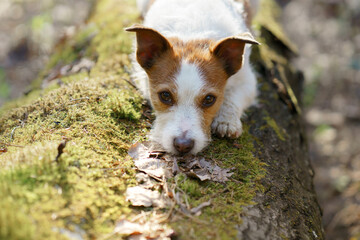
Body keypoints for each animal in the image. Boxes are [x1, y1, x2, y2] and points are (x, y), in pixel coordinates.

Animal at [126, 0, 258, 156]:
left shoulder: (247, 81)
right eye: (165, 95)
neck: (191, 35)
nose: (183, 145)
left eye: (209, 99)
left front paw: (226, 121)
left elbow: (233, 98)